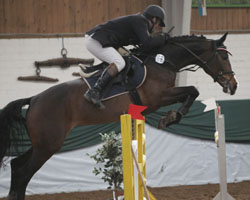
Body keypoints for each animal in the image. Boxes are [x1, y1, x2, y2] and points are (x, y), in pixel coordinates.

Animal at [0, 32, 237, 199]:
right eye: (223, 56)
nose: (233, 86)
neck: (162, 61)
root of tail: (34, 99)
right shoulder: (158, 97)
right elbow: (192, 91)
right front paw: (170, 118)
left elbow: (191, 92)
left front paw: (171, 117)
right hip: (49, 144)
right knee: (23, 172)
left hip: (43, 143)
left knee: (17, 167)